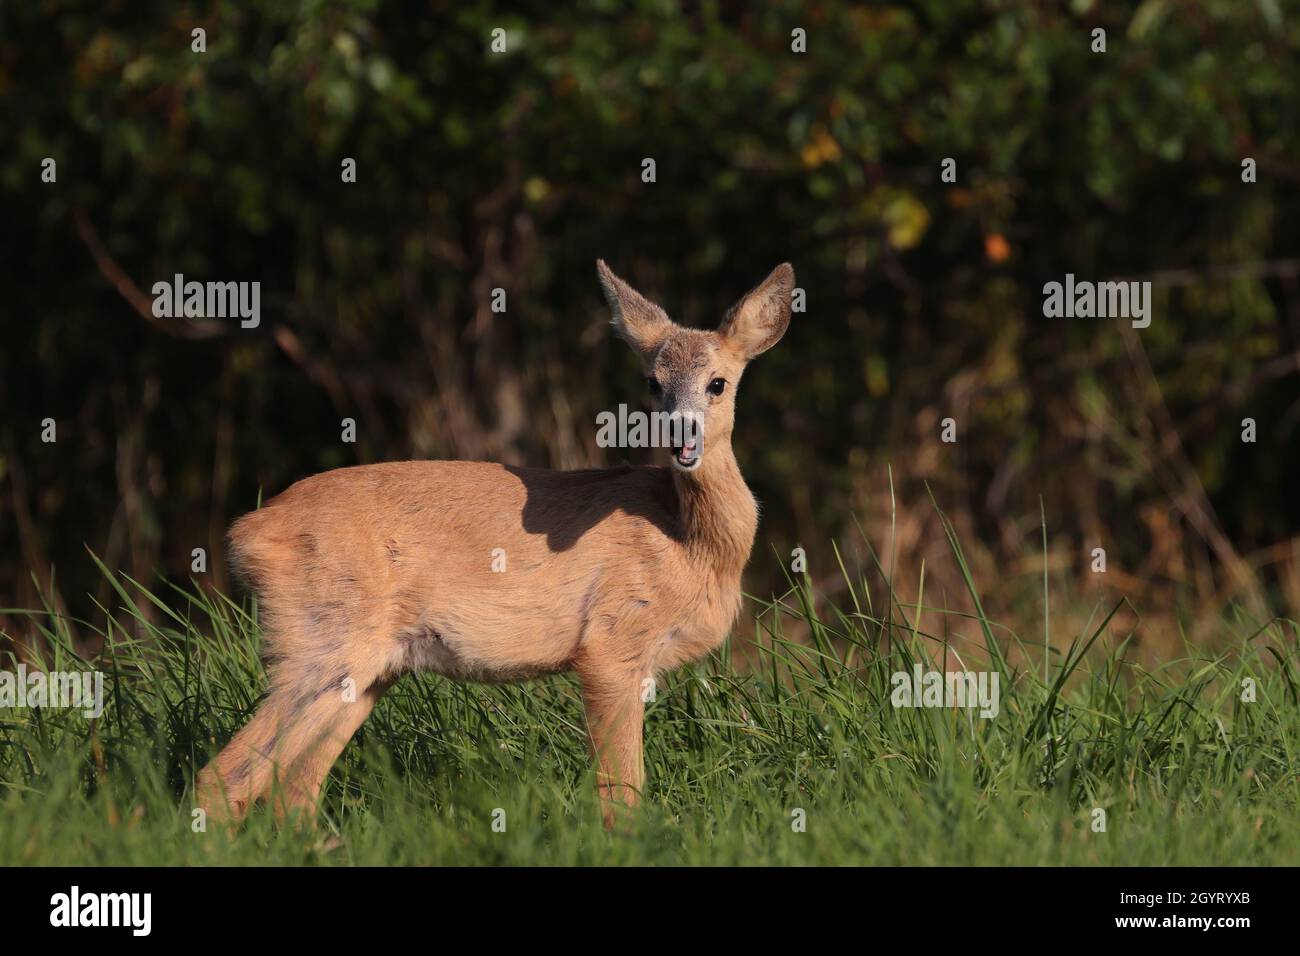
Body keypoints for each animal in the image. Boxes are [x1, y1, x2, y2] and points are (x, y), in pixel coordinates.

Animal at [195, 261, 790, 832]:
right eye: (652, 382)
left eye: (718, 383)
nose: (679, 435)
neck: (687, 540)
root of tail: (247, 531)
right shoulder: (611, 641)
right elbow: (622, 792)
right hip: (322, 636)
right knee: (227, 775)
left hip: (365, 671)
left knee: (292, 788)